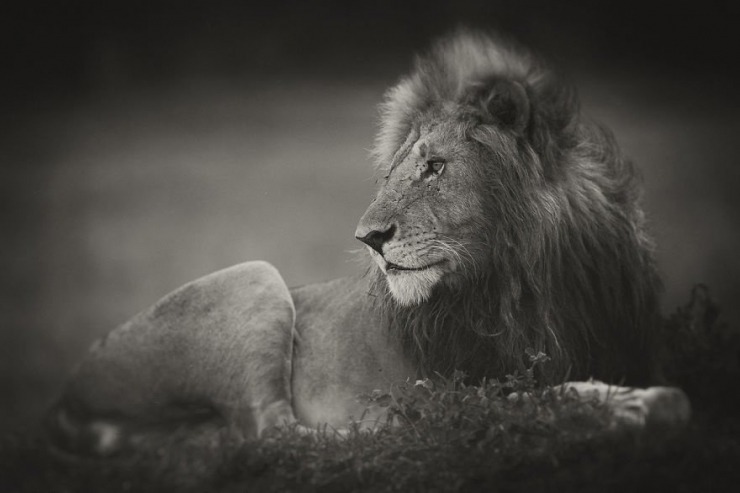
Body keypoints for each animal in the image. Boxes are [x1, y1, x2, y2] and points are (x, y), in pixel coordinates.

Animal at [46, 30, 690, 457]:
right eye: (392, 173)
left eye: (435, 167)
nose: (369, 238)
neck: (536, 278)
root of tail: (67, 395)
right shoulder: (449, 384)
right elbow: (518, 400)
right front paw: (637, 404)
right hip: (255, 278)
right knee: (275, 436)